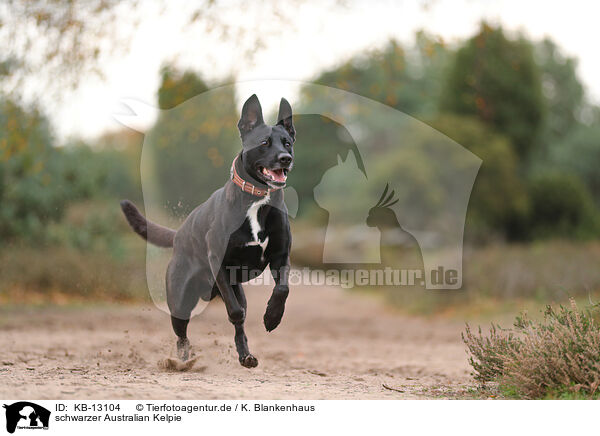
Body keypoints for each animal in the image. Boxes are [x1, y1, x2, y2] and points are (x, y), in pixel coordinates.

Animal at [119, 96, 292, 368]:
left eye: (287, 142)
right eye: (264, 142)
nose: (286, 158)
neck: (257, 201)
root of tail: (178, 235)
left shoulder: (281, 256)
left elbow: (282, 289)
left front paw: (272, 317)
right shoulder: (217, 260)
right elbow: (235, 311)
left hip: (235, 289)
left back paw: (246, 356)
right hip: (180, 300)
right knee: (183, 335)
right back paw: (182, 361)